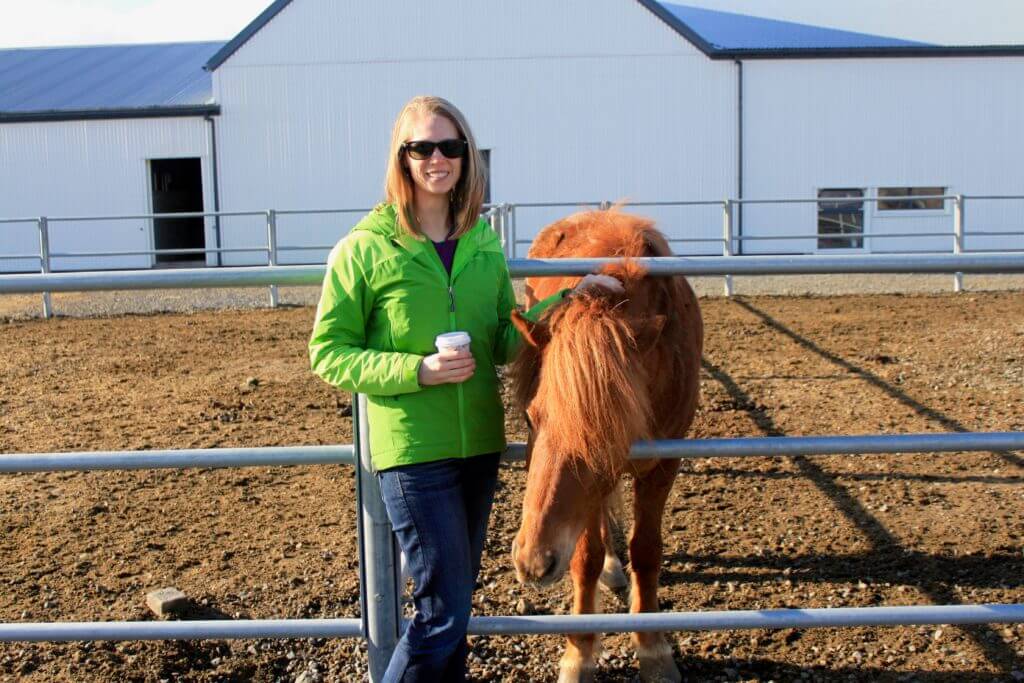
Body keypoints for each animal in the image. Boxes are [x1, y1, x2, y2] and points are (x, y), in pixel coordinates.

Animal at [512, 209, 704, 683]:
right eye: (530, 417)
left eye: (606, 433)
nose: (532, 563)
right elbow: (585, 556)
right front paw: (579, 654)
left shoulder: (664, 463)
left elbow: (647, 549)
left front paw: (653, 648)